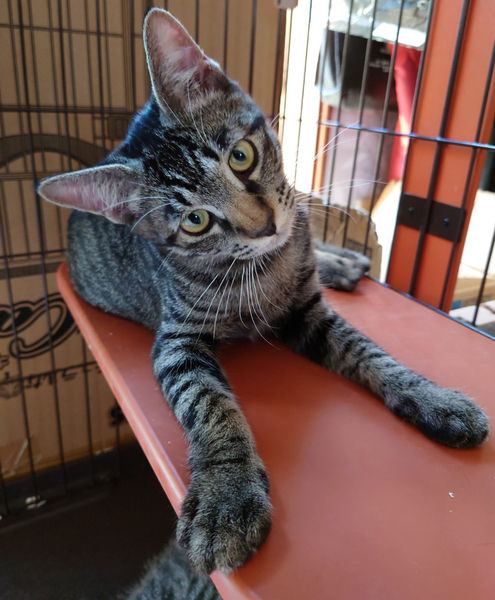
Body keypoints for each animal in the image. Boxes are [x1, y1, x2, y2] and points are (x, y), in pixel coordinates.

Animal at [39, 8, 489, 576]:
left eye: (241, 156)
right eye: (194, 221)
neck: (264, 267)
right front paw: (227, 495)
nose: (266, 226)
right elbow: (208, 401)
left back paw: (341, 261)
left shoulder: (308, 308)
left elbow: (371, 353)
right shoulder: (175, 342)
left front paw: (432, 396)